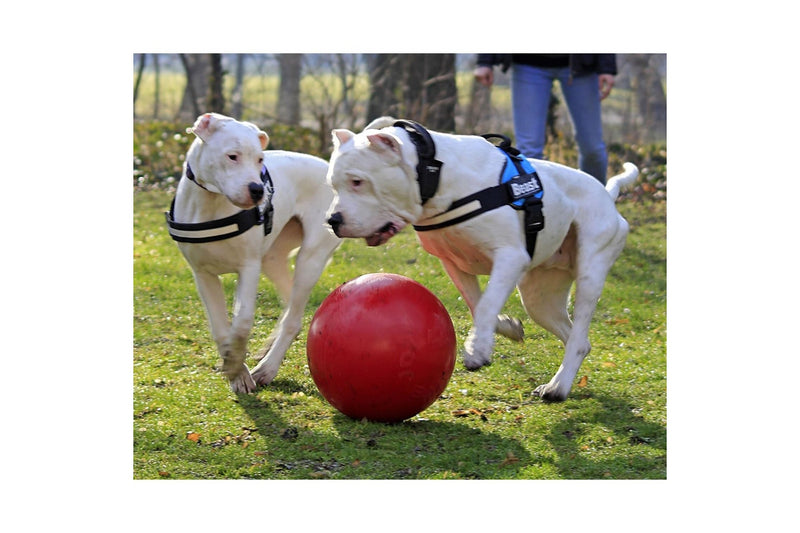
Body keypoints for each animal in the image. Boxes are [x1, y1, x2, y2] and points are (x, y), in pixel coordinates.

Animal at [166, 112, 340, 392]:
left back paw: (268, 368)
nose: (258, 190)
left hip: (310, 259)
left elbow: (243, 320)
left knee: (293, 318)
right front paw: (235, 370)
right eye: (232, 156)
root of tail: (327, 167)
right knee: (289, 303)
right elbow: (220, 328)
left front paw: (237, 364)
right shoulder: (203, 275)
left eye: (260, 159)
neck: (212, 204)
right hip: (273, 259)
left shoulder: (248, 267)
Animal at [324, 116, 636, 400]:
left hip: (589, 275)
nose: (332, 220)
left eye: (358, 181)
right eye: (333, 185)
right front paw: (505, 327)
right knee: (577, 337)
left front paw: (477, 350)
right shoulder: (452, 263)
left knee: (579, 333)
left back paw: (558, 388)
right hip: (539, 298)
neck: (435, 175)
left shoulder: (510, 257)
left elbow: (486, 304)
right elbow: (478, 303)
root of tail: (607, 195)